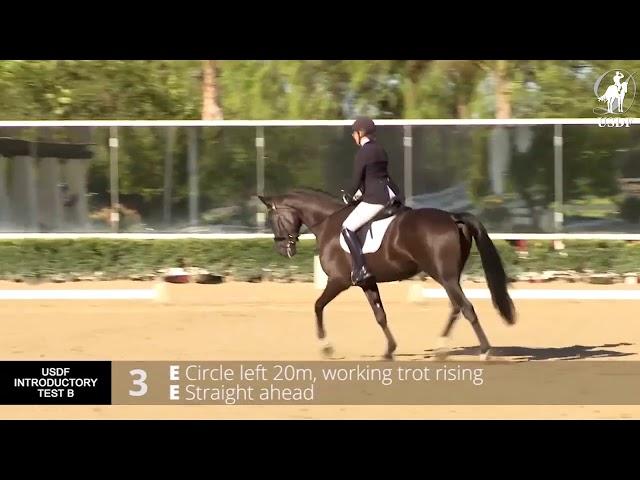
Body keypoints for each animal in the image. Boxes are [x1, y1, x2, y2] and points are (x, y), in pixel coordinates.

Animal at [258, 189, 512, 358]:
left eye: (273, 219)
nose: (284, 250)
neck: (328, 224)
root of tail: (451, 216)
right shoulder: (367, 282)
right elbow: (380, 315)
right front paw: (390, 350)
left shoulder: (339, 281)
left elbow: (318, 305)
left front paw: (326, 347)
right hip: (448, 276)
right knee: (456, 307)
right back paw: (441, 346)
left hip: (444, 276)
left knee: (466, 307)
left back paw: (484, 351)